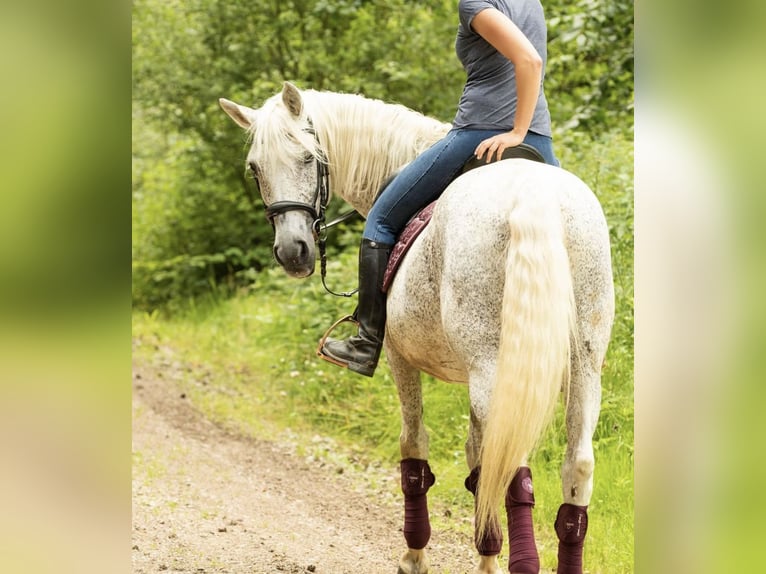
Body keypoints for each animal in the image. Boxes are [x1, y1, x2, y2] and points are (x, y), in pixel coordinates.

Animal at [219, 82, 616, 574]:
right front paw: (486, 555)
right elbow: (477, 462)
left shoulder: (399, 357)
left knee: (512, 464)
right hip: (583, 369)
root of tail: (533, 196)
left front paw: (414, 555)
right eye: (255, 168)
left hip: (497, 368)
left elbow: (415, 448)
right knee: (574, 468)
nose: (293, 252)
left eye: (309, 159)